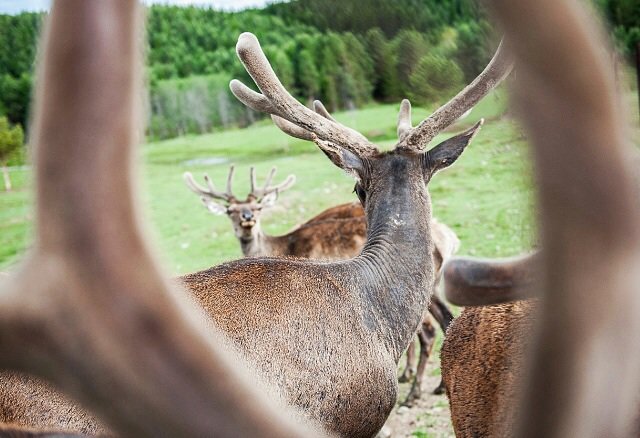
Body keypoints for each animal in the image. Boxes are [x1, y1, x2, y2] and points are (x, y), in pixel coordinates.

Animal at [185, 163, 460, 400]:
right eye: (230, 211)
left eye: (259, 207)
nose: (247, 218)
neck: (282, 246)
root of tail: (447, 237)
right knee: (444, 319)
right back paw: (433, 384)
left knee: (428, 329)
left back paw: (415, 392)